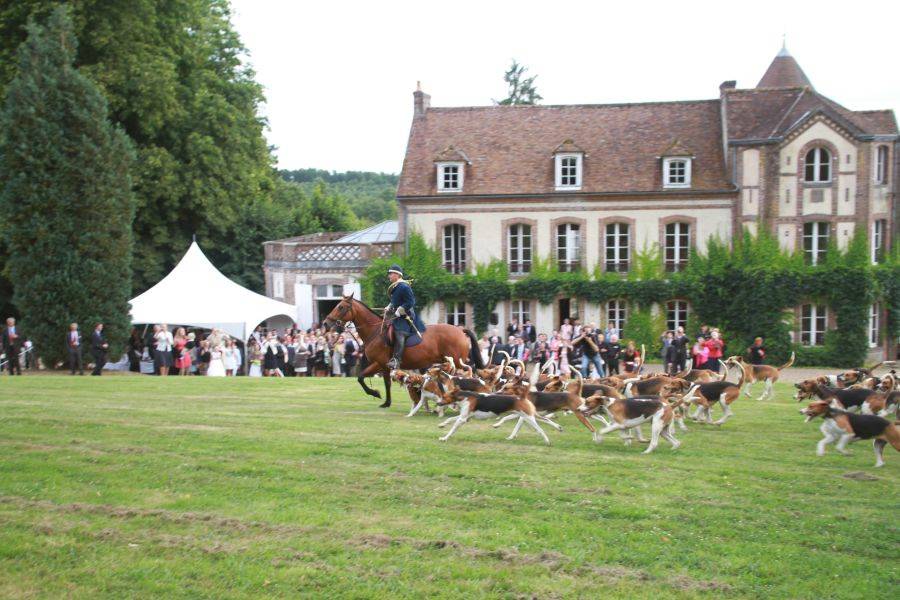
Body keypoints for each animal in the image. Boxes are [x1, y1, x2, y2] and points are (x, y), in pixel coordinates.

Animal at [320, 294, 482, 408]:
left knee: (471, 370)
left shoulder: (379, 364)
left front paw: (375, 393)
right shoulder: (384, 367)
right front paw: (386, 402)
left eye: (341, 307)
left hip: (457, 361)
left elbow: (361, 377)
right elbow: (385, 383)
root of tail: (460, 329)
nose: (325, 323)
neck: (375, 332)